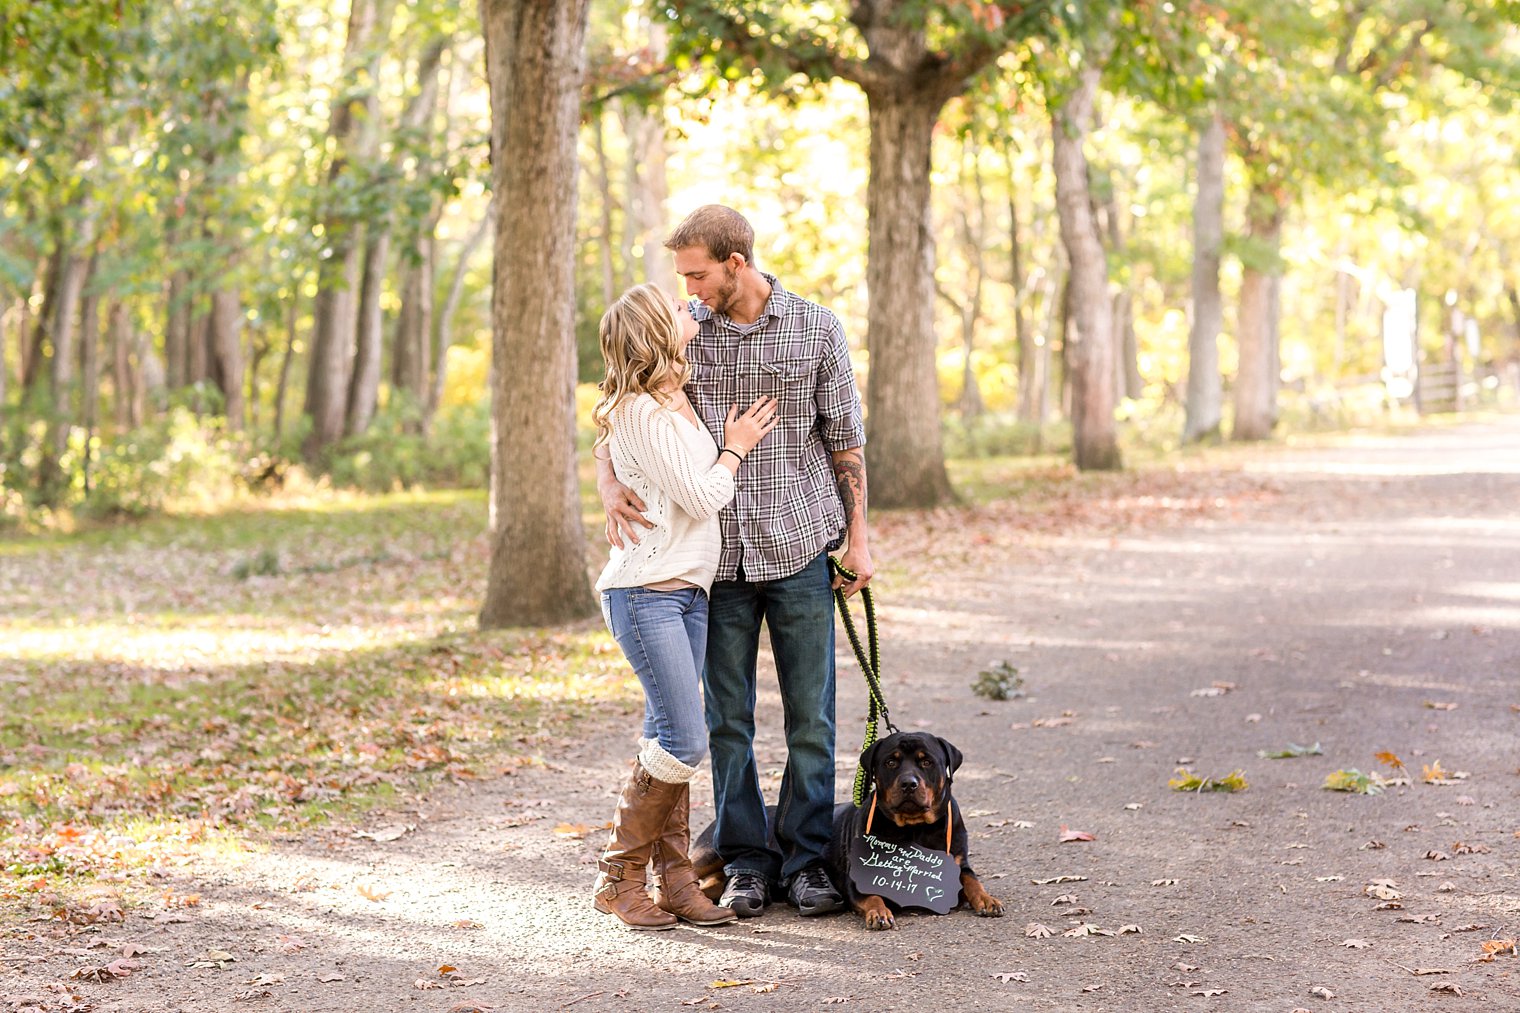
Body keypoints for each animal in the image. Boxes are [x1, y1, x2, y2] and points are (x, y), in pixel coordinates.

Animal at [826, 730, 1003, 924]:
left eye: (927, 762)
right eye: (891, 762)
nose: (909, 783)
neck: (915, 827)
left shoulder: (958, 865)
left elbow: (972, 880)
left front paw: (987, 899)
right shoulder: (856, 879)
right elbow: (872, 896)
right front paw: (879, 912)